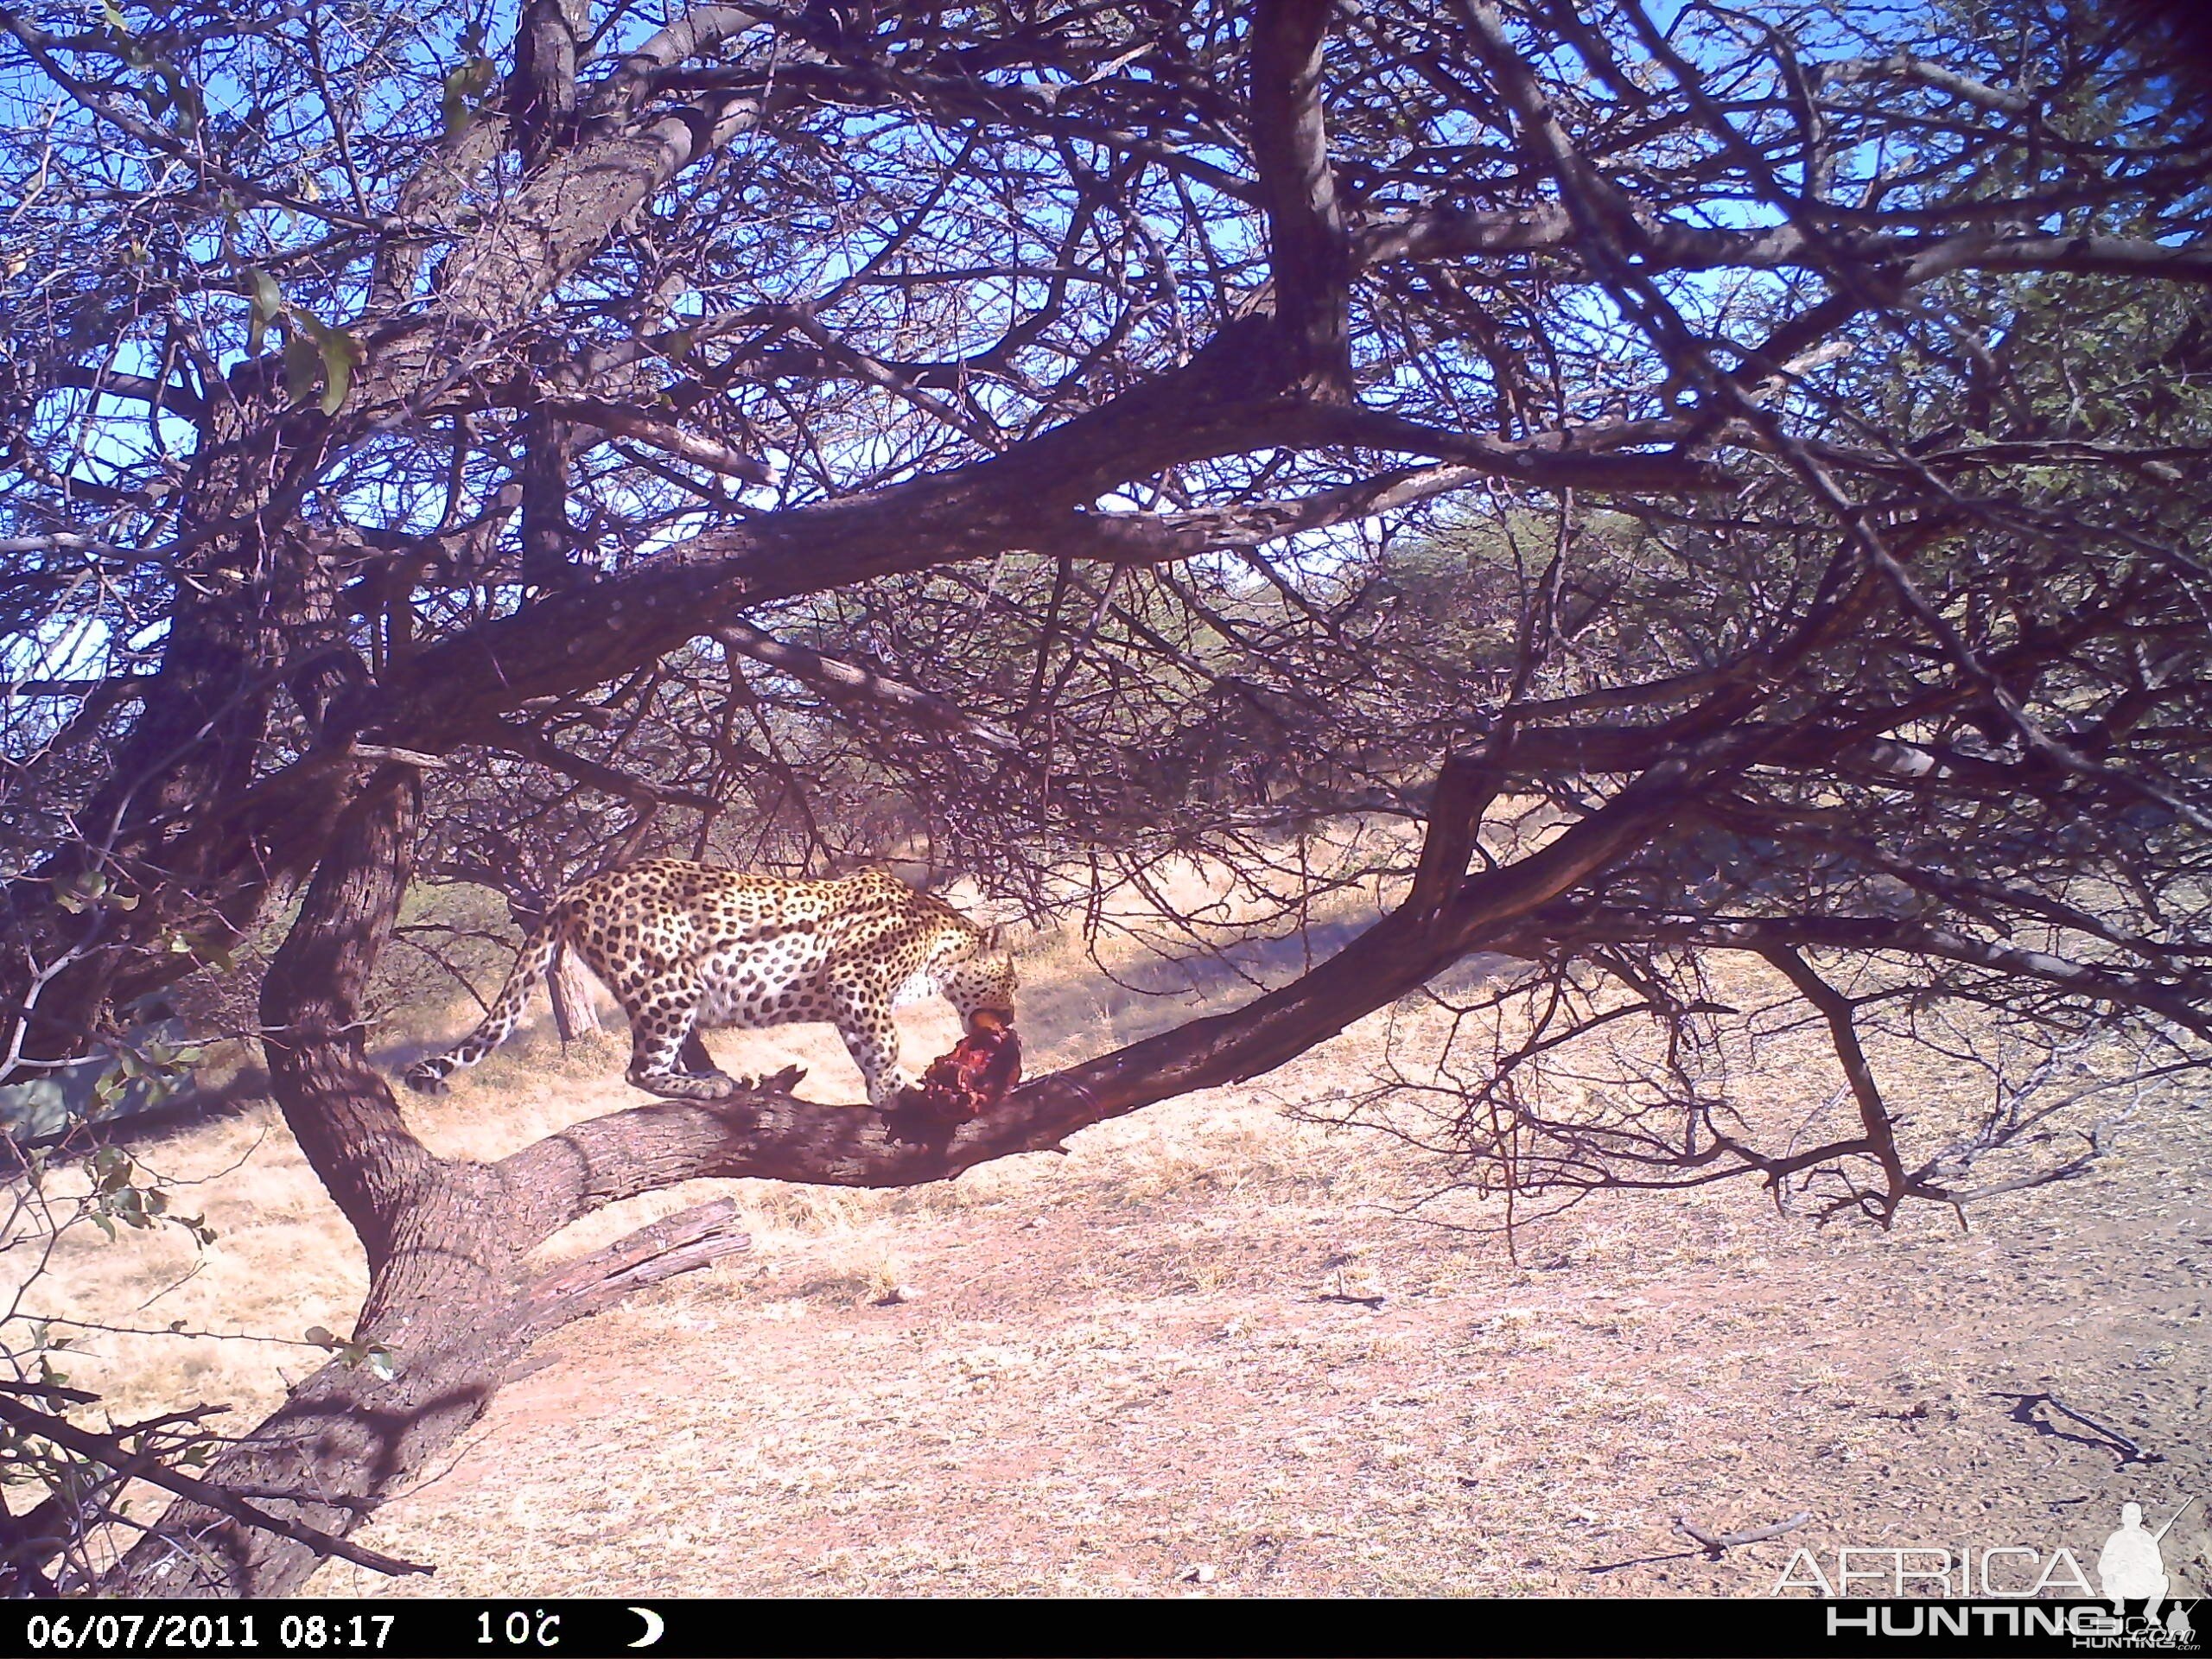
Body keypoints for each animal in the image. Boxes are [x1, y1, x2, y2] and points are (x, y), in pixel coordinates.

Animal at [402, 862, 1013, 1110]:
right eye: (1011, 981)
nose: (1007, 1020)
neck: (941, 944)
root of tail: (577, 889)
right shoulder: (855, 980)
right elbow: (882, 1041)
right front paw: (891, 1090)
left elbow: (868, 1044)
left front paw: (885, 1089)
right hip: (665, 984)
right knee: (638, 1070)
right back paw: (709, 1086)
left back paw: (708, 1075)